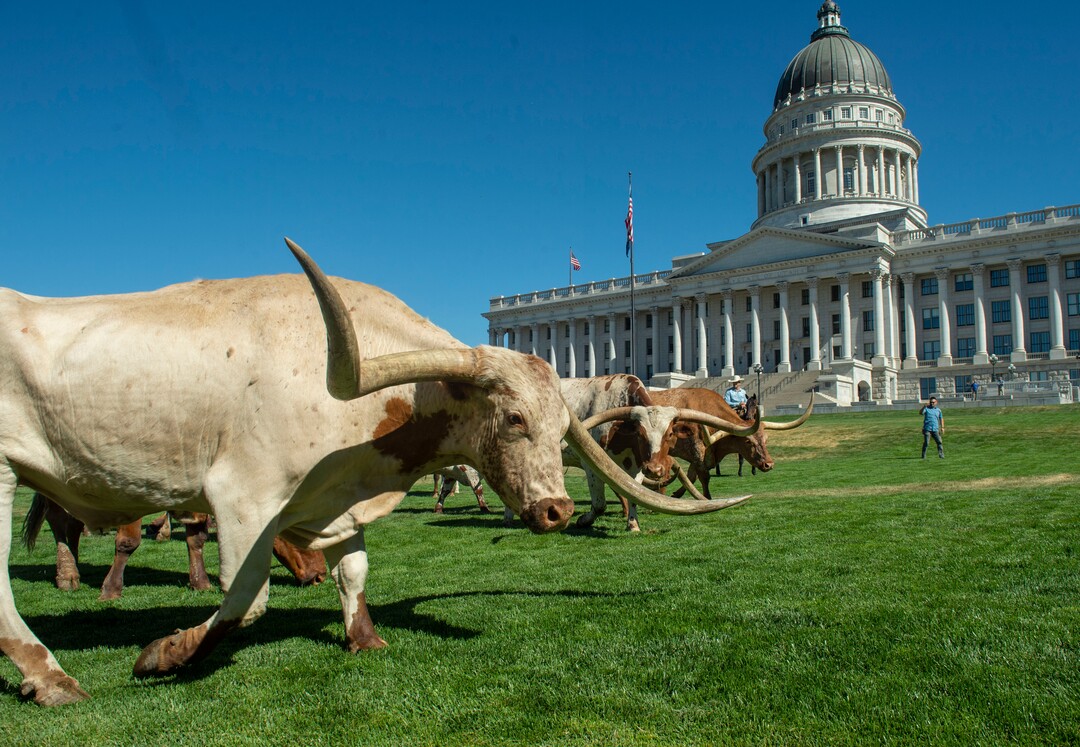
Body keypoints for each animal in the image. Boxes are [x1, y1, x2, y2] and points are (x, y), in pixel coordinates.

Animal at [22, 494, 327, 597]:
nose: (321, 576)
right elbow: (128, 541)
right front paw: (111, 589)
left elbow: (197, 537)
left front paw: (200, 582)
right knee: (59, 520)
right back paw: (67, 575)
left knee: (71, 525)